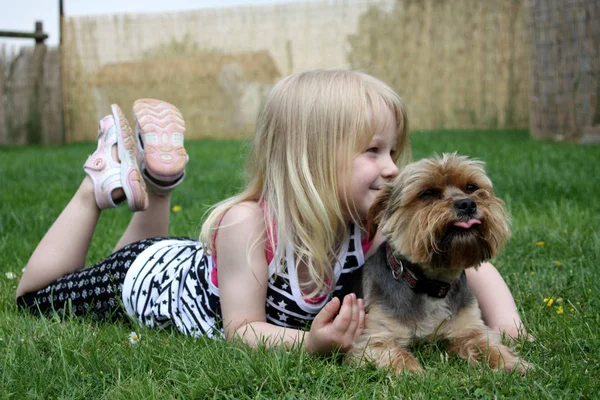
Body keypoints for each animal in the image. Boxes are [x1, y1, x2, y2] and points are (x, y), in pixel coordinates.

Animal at [350, 154, 532, 376]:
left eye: (471, 187)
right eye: (427, 193)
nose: (467, 203)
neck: (431, 284)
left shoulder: (471, 328)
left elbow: (489, 345)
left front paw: (513, 364)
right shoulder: (372, 340)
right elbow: (396, 354)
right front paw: (414, 372)